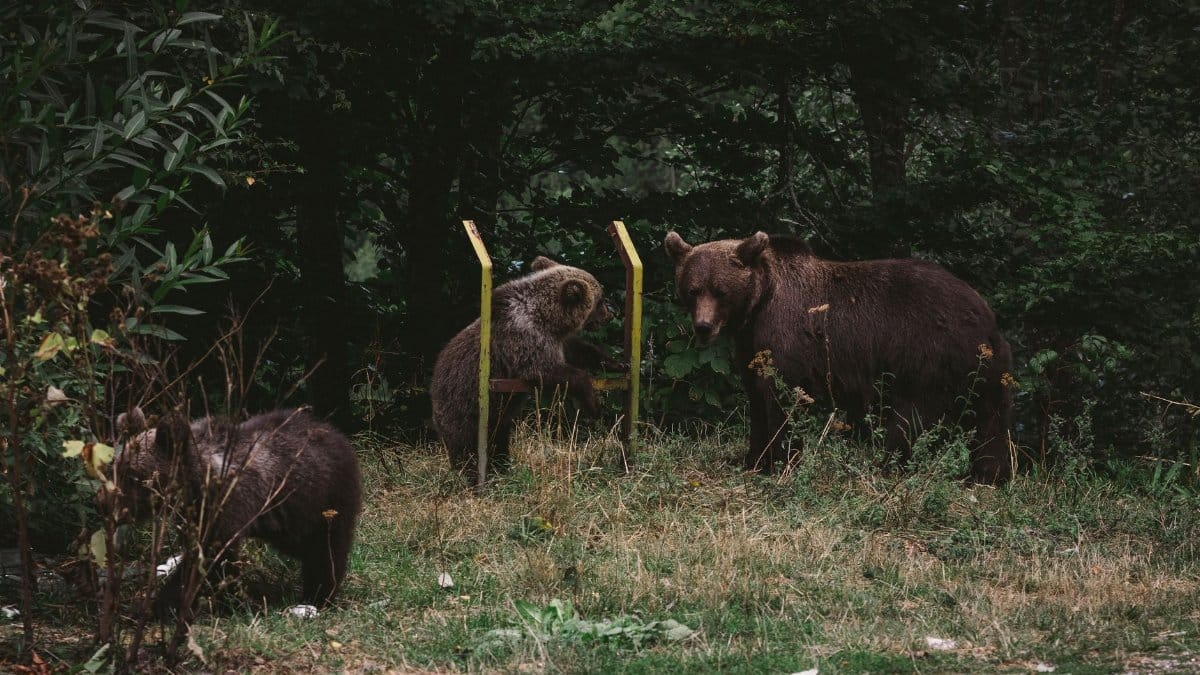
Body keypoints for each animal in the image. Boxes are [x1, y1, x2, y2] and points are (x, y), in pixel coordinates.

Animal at [114, 406, 361, 614]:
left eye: (134, 476)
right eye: (117, 470)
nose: (115, 511)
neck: (196, 480)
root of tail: (337, 434)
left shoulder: (226, 505)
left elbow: (211, 558)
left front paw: (157, 604)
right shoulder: (191, 513)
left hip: (323, 500)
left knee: (325, 550)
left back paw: (316, 598)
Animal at [431, 256, 621, 477]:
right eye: (600, 300)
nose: (611, 313)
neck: (548, 318)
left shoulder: (557, 340)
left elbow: (578, 351)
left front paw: (618, 363)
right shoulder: (524, 337)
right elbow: (544, 371)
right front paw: (593, 404)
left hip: (498, 418)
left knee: (499, 441)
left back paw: (501, 468)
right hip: (463, 407)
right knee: (466, 447)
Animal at [664, 230, 1013, 484]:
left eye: (720, 291)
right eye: (693, 289)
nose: (703, 327)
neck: (758, 304)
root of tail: (985, 315)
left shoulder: (785, 336)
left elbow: (782, 398)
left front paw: (780, 461)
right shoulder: (750, 346)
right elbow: (757, 398)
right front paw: (754, 458)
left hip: (926, 354)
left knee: (909, 417)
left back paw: (885, 466)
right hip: (985, 370)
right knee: (991, 420)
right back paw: (990, 475)